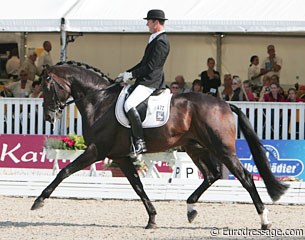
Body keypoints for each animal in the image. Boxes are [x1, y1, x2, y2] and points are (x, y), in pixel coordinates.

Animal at [32, 61, 286, 229]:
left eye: (46, 86)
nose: (48, 116)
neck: (99, 100)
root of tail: (224, 104)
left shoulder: (96, 150)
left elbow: (64, 171)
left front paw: (39, 201)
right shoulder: (121, 156)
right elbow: (137, 186)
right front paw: (152, 219)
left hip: (222, 148)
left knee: (245, 177)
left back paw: (265, 220)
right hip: (196, 147)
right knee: (212, 174)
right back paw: (191, 208)